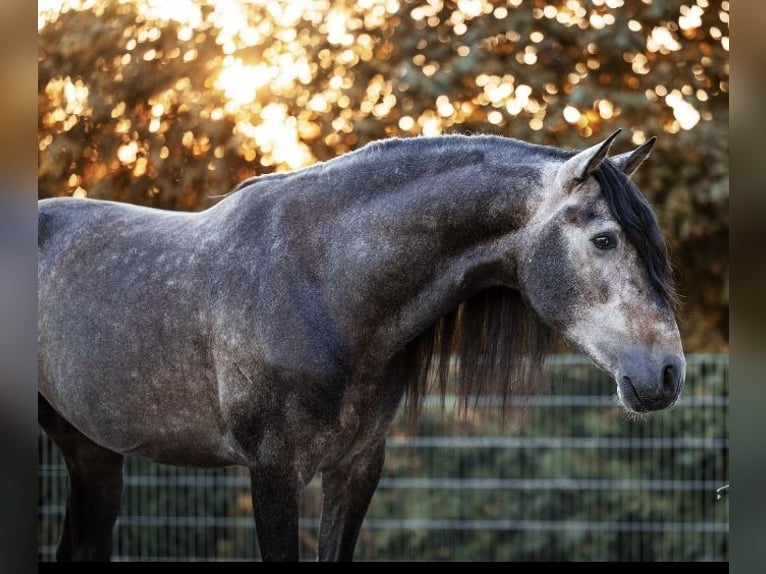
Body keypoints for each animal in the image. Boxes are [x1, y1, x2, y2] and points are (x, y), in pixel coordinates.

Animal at [37, 129, 685, 561]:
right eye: (604, 239)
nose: (668, 374)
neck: (324, 282)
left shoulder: (356, 468)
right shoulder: (273, 472)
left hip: (92, 452)